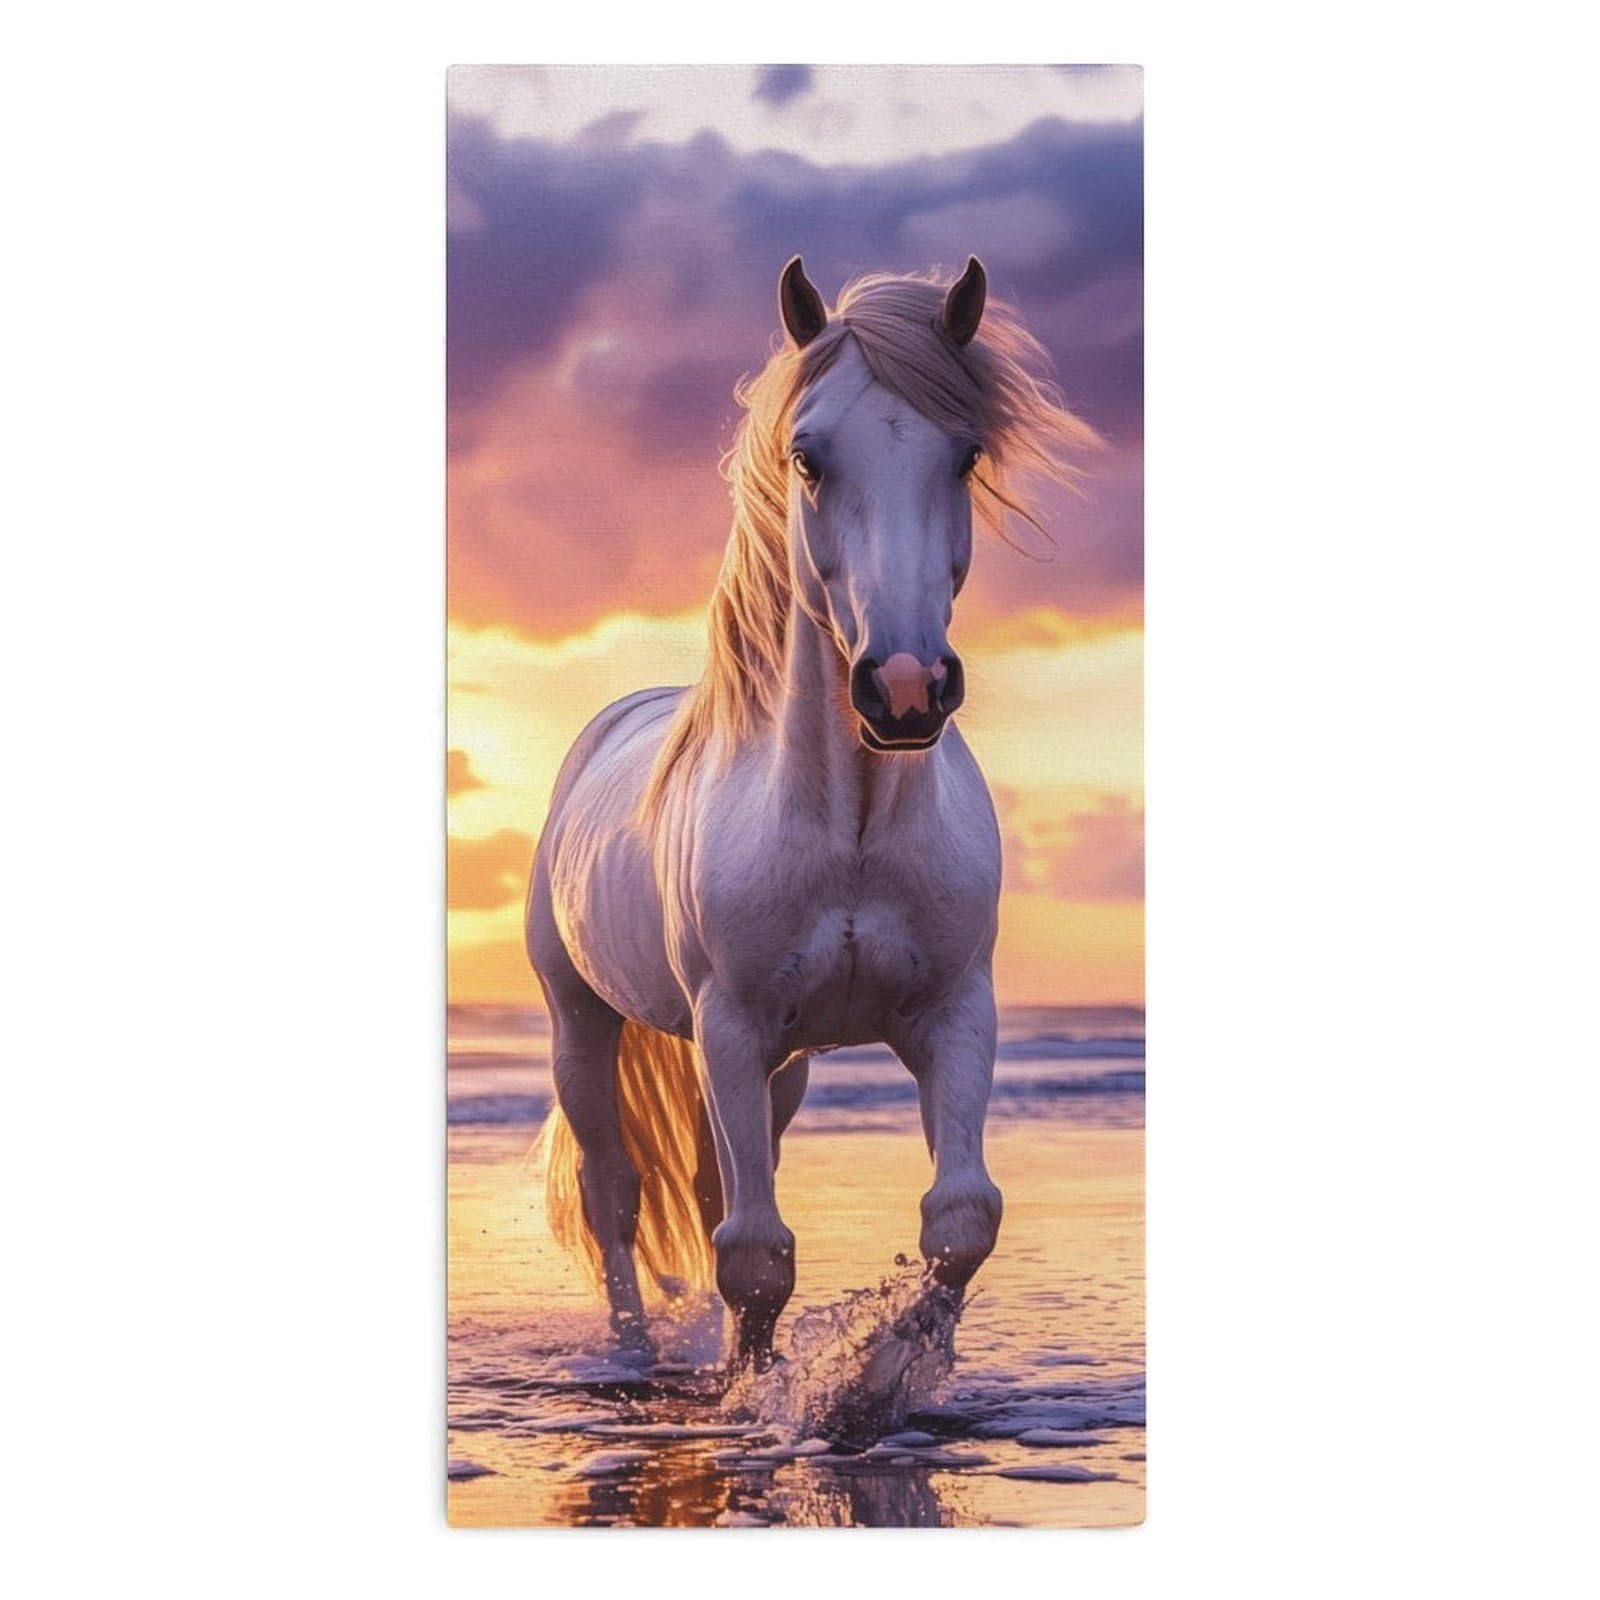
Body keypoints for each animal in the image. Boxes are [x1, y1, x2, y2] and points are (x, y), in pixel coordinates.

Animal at [526, 256, 1096, 1368]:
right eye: (807, 457)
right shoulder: (729, 1025)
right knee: (615, 1193)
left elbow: (960, 1217)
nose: (907, 688)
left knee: (712, 1186)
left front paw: (887, 1374)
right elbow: (754, 1253)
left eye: (966, 453)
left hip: (781, 1067)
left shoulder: (951, 1013)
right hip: (586, 1023)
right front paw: (769, 1395)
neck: (853, 835)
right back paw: (636, 1354)